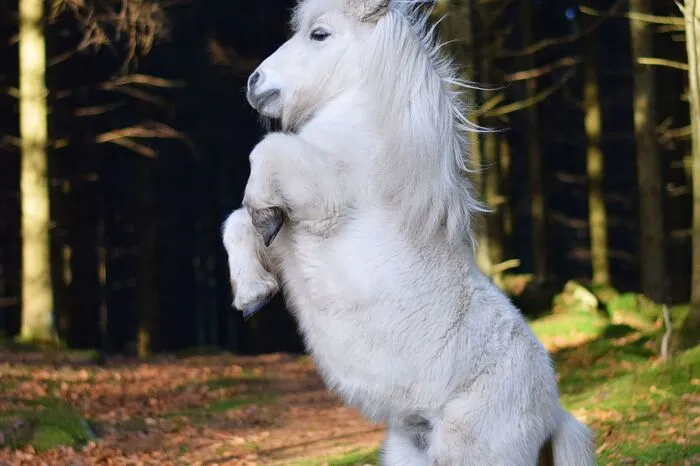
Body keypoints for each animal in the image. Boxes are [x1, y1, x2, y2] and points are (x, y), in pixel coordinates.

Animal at [221, 0, 596, 464]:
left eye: (319, 34)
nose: (254, 83)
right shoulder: (291, 237)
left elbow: (266, 153)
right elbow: (239, 222)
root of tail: (554, 412)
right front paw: (252, 293)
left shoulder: (321, 201)